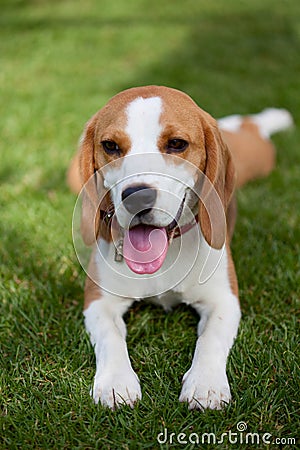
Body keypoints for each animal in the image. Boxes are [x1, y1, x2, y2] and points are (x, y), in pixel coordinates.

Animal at [68, 85, 292, 412]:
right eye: (110, 146)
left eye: (177, 144)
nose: (137, 196)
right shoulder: (98, 301)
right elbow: (110, 337)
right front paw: (115, 382)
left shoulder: (224, 299)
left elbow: (211, 338)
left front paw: (205, 384)